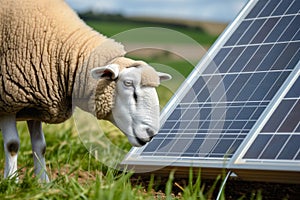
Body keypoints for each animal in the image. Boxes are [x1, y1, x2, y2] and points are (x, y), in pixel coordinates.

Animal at [0, 0, 171, 182]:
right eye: (128, 83)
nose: (151, 133)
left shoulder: (34, 103)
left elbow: (40, 146)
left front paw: (43, 182)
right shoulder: (8, 102)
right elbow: (12, 145)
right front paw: (11, 181)